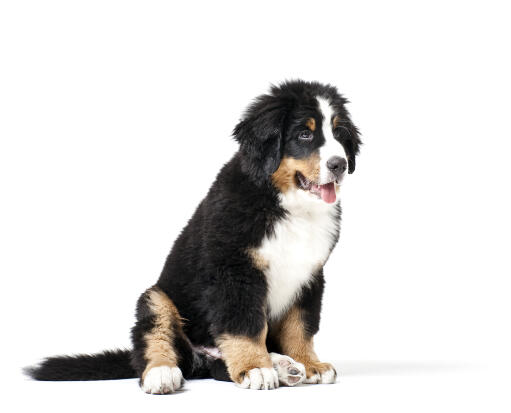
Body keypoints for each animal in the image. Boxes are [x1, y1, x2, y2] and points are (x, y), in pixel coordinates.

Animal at [27, 79, 364, 392]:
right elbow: (244, 325)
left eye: (339, 134)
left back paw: (285, 365)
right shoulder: (234, 271)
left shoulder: (309, 275)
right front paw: (254, 367)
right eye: (305, 134)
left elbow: (300, 326)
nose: (339, 164)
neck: (287, 205)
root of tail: (199, 356)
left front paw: (310, 363)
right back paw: (164, 373)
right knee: (158, 342)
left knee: (218, 364)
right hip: (156, 299)